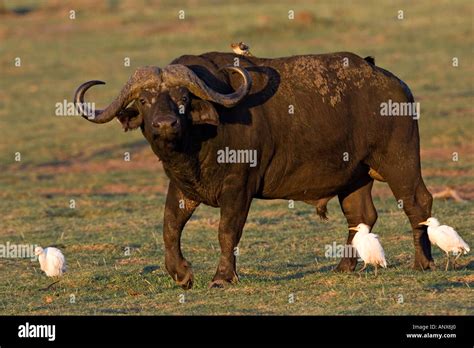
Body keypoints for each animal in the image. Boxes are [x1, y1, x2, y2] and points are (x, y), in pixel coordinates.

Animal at [76, 51, 436, 288]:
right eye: (146, 99)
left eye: (182, 98)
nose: (165, 124)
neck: (197, 145)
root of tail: (395, 85)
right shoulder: (181, 186)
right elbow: (169, 227)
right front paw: (181, 273)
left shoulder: (239, 187)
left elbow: (227, 232)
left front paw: (222, 277)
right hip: (354, 177)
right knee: (360, 216)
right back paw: (344, 266)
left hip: (399, 160)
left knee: (418, 202)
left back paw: (423, 262)